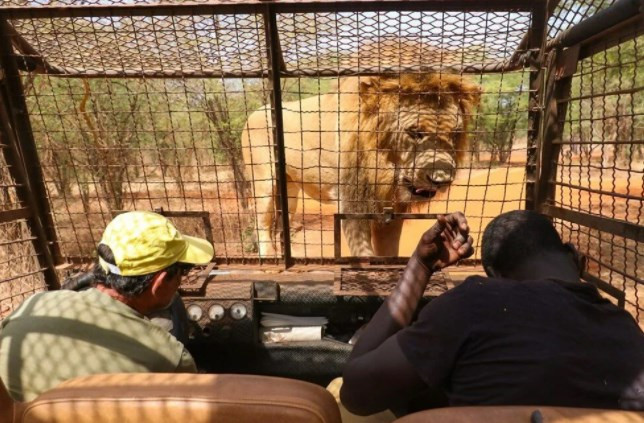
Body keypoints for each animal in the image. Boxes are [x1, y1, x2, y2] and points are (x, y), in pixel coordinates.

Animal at [240, 74, 478, 256]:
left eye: (455, 135)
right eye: (415, 133)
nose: (442, 180)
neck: (385, 172)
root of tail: (252, 113)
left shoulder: (391, 211)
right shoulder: (352, 202)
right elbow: (364, 254)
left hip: (290, 192)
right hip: (263, 182)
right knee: (262, 223)